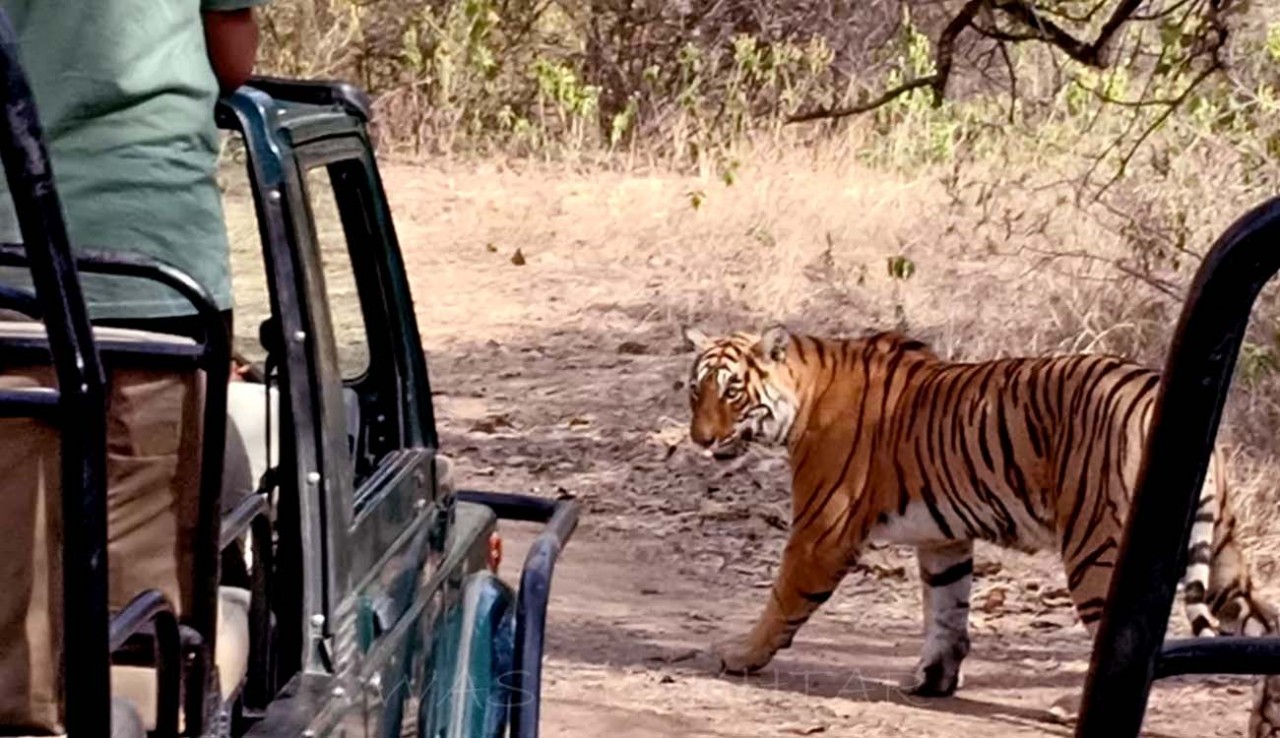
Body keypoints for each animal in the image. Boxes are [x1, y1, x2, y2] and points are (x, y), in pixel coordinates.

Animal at [686, 324, 1280, 731]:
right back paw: (1265, 721)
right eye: (696, 391)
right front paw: (934, 680)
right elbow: (946, 611)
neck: (802, 394)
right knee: (1262, 623)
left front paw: (740, 655)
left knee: (1125, 637)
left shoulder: (820, 532)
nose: (699, 440)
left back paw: (1071, 708)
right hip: (1220, 553)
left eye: (732, 392)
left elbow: (782, 600)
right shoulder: (942, 539)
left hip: (1098, 548)